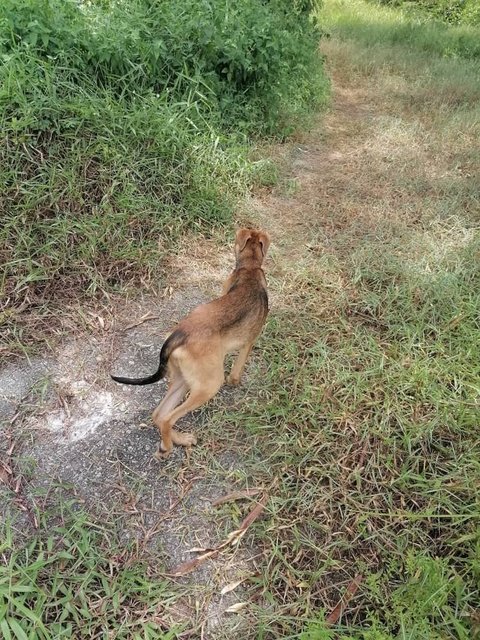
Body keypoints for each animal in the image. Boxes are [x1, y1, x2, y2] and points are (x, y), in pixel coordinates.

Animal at [112, 228, 270, 458]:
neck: (250, 268)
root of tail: (180, 333)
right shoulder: (249, 342)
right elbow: (236, 371)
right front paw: (235, 383)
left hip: (184, 379)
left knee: (159, 414)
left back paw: (179, 440)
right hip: (209, 384)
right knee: (168, 417)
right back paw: (167, 447)